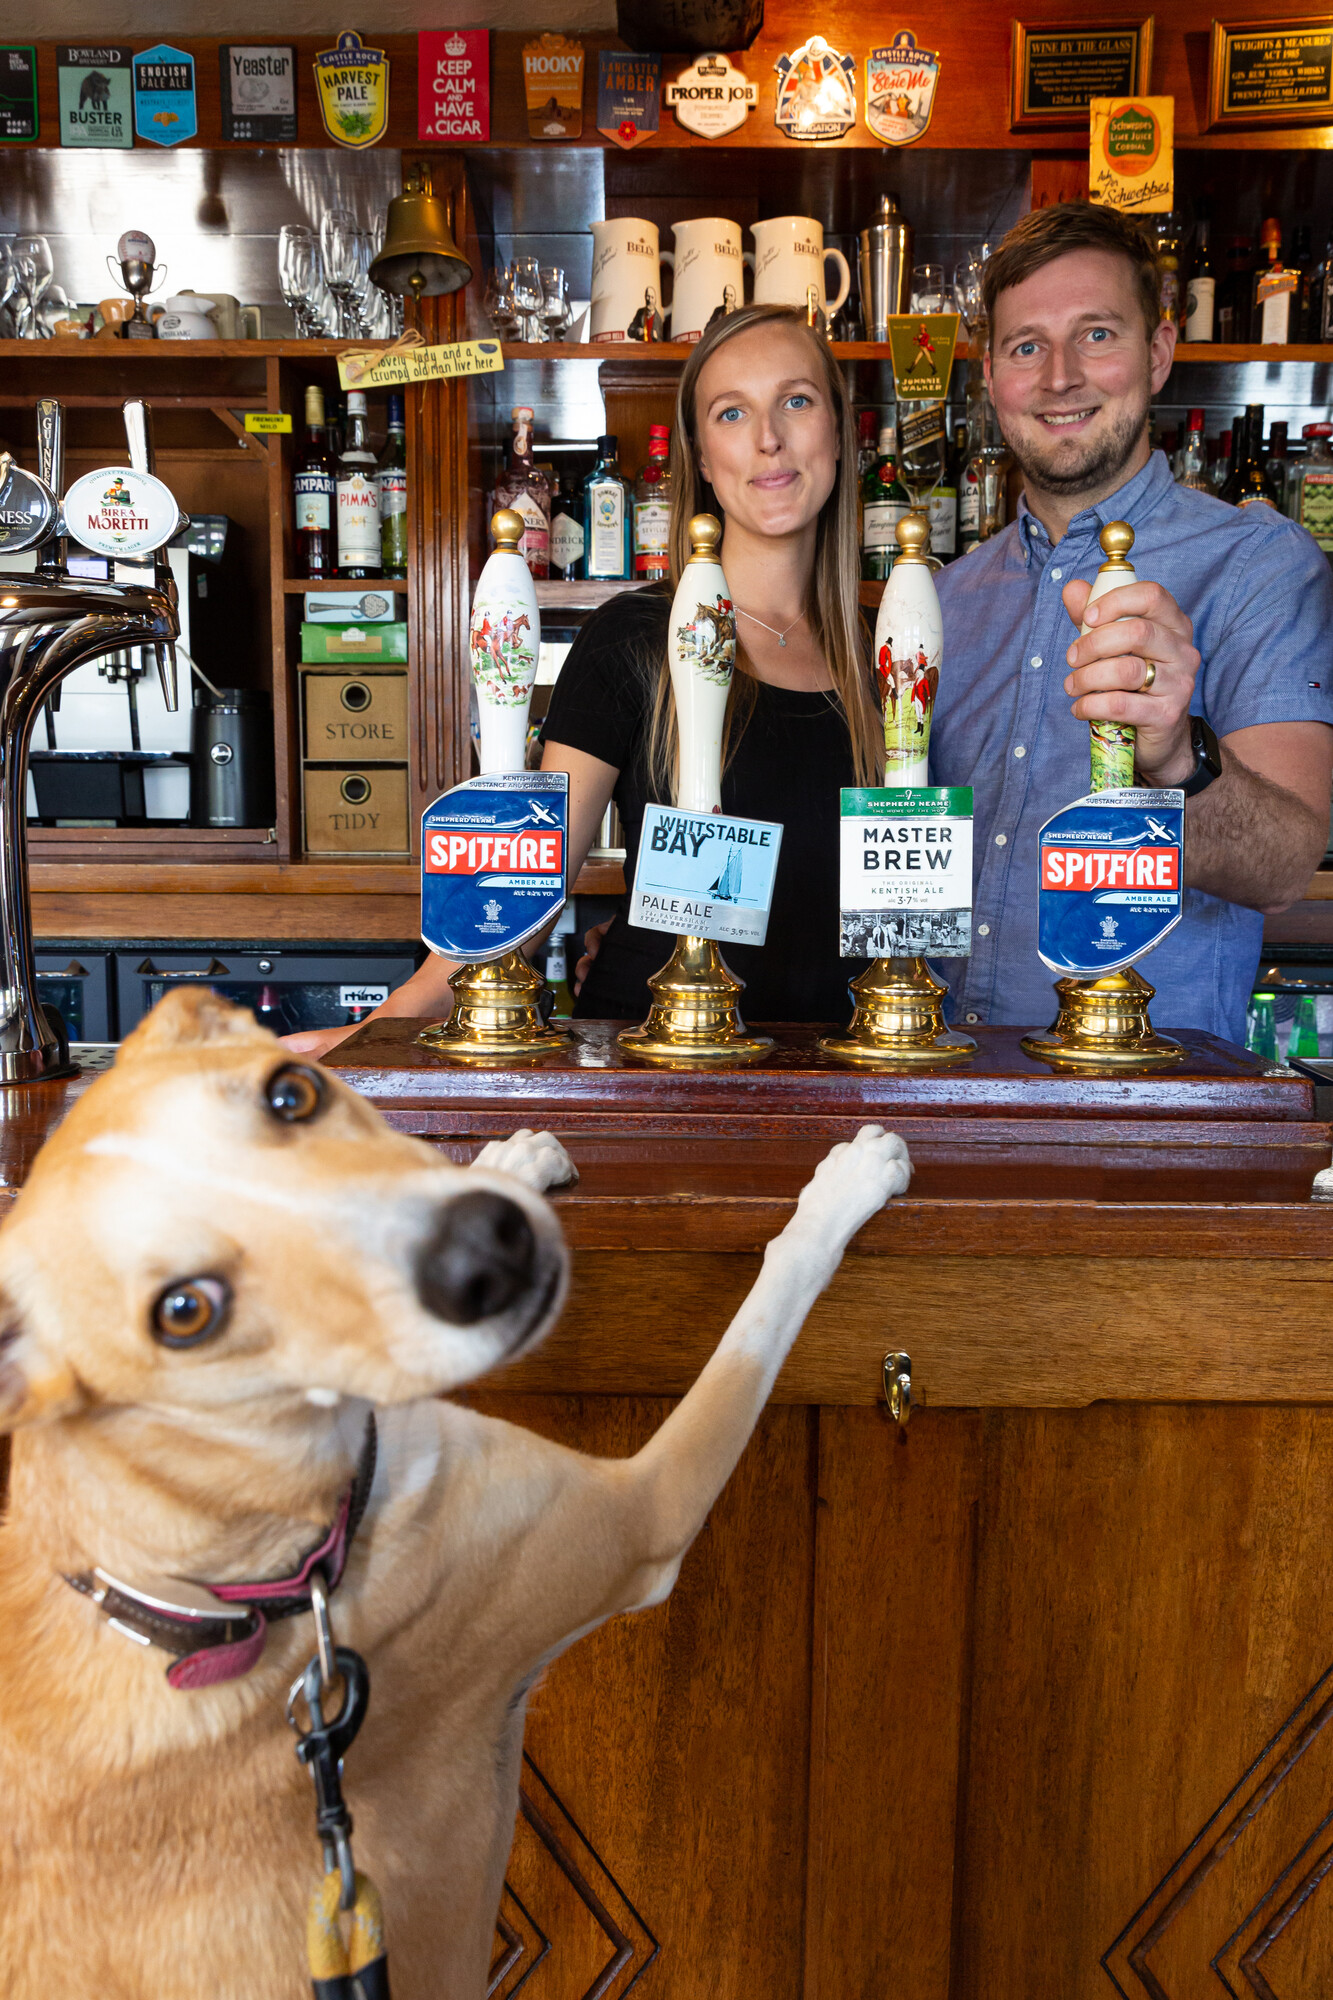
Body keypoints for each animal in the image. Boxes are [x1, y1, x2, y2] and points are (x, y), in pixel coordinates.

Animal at [0, 992, 908, 1992]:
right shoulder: (646, 1512)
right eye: (184, 1312)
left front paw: (512, 1161)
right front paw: (846, 1183)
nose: (485, 1250)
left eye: (292, 1091)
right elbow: (762, 1310)